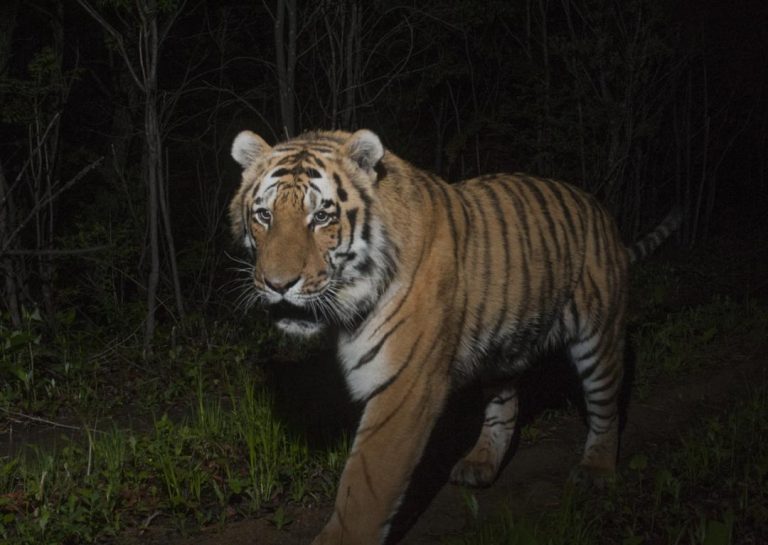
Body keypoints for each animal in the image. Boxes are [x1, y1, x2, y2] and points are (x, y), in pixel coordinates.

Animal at [229, 128, 681, 545]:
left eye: (322, 217)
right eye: (264, 215)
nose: (278, 284)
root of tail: (601, 213)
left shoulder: (405, 387)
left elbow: (365, 486)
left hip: (598, 336)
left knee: (606, 405)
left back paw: (597, 470)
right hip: (502, 347)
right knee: (504, 406)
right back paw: (481, 464)